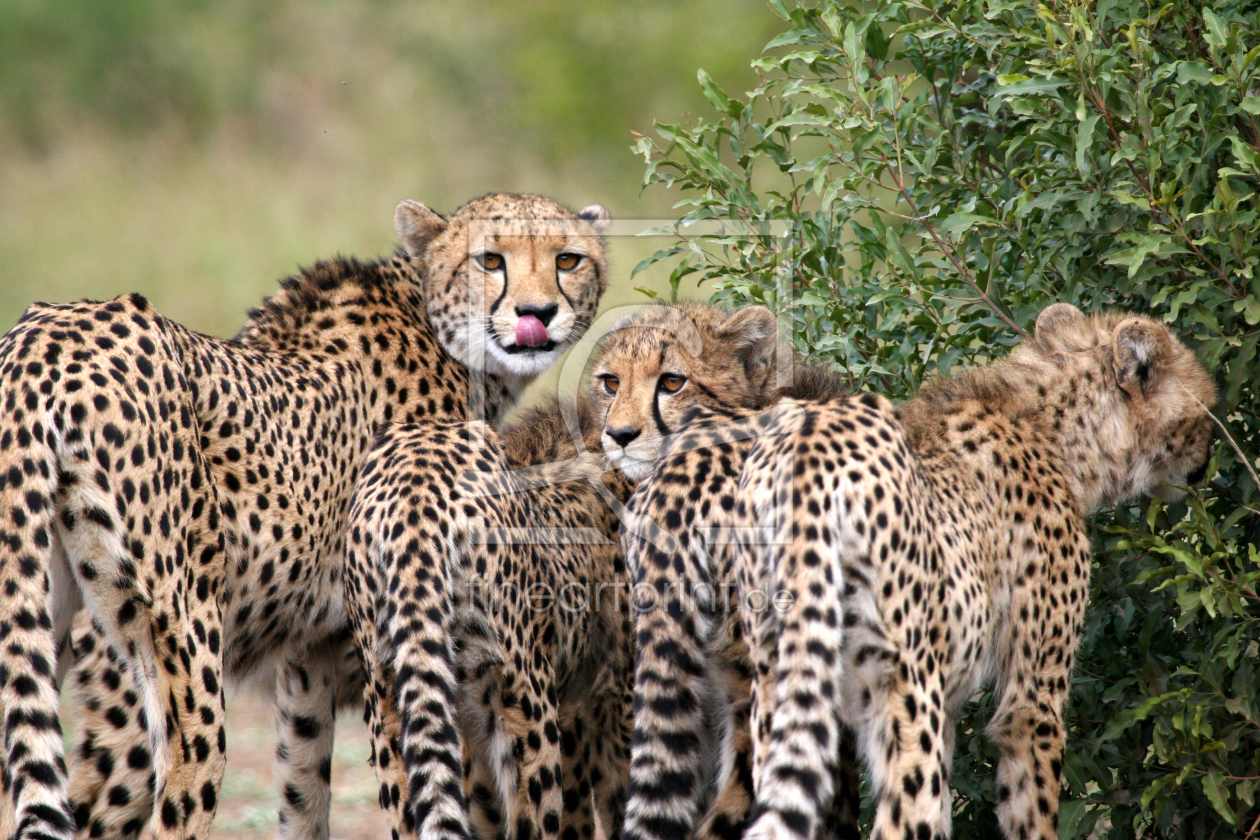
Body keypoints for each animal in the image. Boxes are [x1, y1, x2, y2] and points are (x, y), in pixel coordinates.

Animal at [0, 190, 609, 840]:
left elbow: (302, 791)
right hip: (178, 651)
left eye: (568, 259)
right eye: (490, 259)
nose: (537, 313)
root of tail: (49, 333)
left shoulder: (309, 661)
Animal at [340, 302, 831, 840]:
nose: (620, 435)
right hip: (525, 698)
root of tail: (413, 481)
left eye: (673, 381)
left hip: (394, 697)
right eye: (612, 382)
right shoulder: (620, 692)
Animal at [617, 306, 1209, 840]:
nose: (1209, 458)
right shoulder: (1028, 701)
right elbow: (1029, 806)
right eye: (1204, 405)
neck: (1052, 425)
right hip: (900, 695)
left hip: (780, 695)